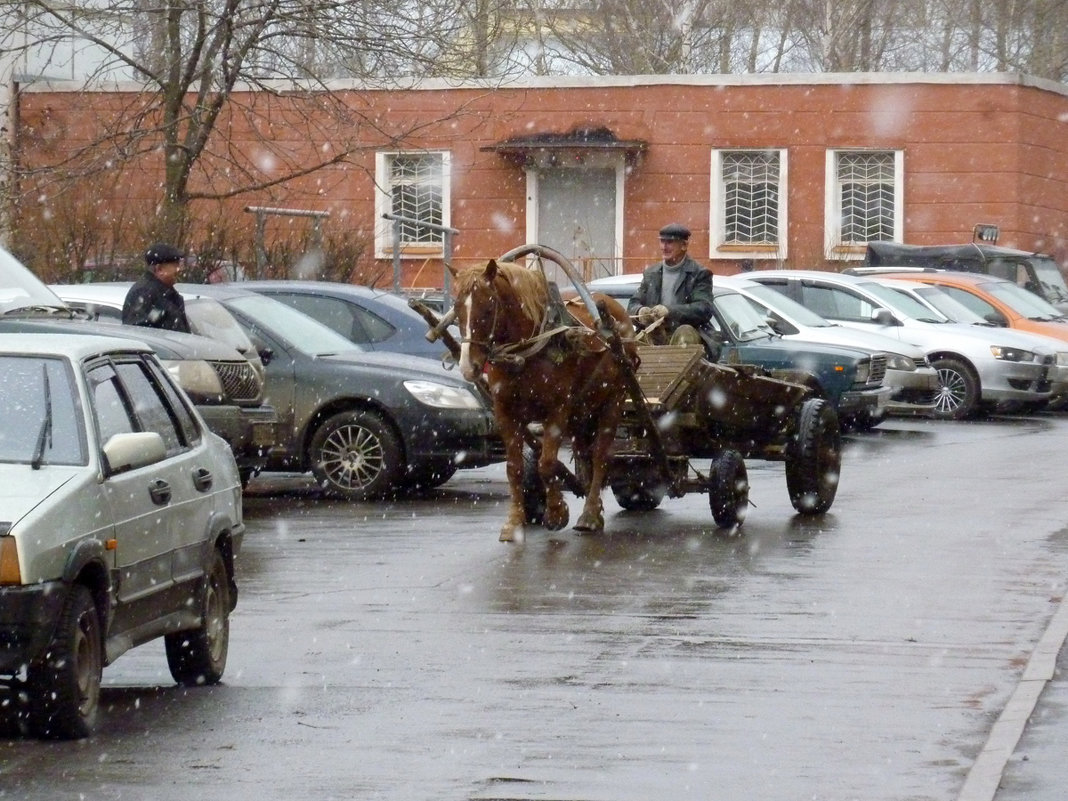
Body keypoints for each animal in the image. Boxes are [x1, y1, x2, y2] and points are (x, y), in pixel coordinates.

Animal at [448, 260, 636, 542]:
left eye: (488, 307)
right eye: (457, 308)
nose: (469, 366)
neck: (525, 353)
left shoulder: (557, 410)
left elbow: (547, 463)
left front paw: (556, 512)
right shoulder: (505, 412)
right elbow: (514, 467)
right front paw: (514, 522)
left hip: (613, 400)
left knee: (600, 455)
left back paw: (590, 514)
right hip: (581, 411)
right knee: (584, 454)